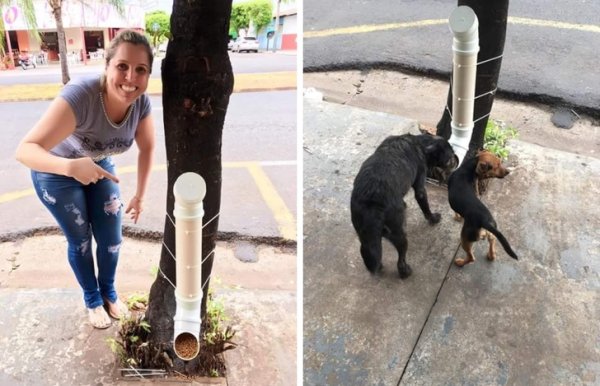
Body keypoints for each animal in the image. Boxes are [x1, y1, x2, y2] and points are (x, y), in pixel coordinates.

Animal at [350, 133, 458, 278]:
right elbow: (426, 207)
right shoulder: (420, 188)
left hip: (364, 237)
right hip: (399, 233)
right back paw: (405, 272)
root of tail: (372, 204)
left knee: (370, 253)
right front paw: (433, 218)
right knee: (400, 258)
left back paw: (379, 266)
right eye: (450, 156)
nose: (456, 159)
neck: (422, 144)